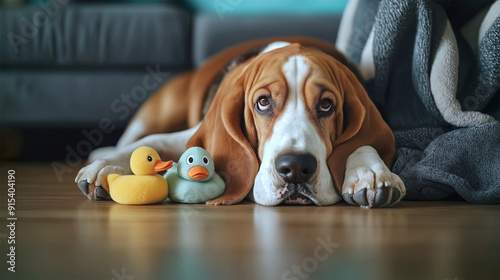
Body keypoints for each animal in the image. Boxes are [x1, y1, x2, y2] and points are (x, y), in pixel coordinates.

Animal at [75, 36, 406, 208]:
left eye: (326, 105)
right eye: (263, 102)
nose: (296, 168)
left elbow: (363, 143)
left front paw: (370, 173)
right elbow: (151, 143)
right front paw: (108, 167)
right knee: (134, 136)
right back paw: (102, 155)